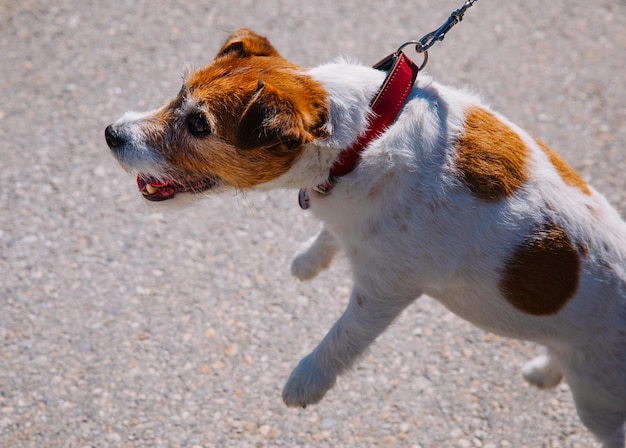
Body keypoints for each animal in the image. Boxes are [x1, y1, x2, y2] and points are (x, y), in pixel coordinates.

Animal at [105, 29, 624, 446]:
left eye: (198, 124)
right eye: (179, 93)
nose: (111, 133)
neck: (364, 134)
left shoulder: (384, 291)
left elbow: (343, 336)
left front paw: (305, 382)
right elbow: (330, 233)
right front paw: (309, 260)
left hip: (598, 400)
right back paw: (544, 371)